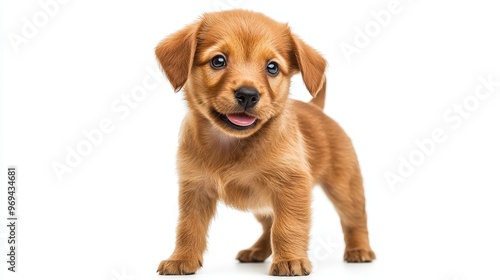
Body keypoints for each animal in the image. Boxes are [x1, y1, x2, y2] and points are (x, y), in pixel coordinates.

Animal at [156, 9, 376, 276]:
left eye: (272, 67)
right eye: (218, 61)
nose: (248, 95)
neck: (232, 144)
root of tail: (316, 109)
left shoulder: (291, 187)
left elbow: (287, 226)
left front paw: (290, 260)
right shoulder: (195, 188)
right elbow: (189, 227)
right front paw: (182, 258)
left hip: (344, 187)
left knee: (354, 219)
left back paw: (359, 249)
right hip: (261, 204)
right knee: (268, 225)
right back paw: (257, 251)